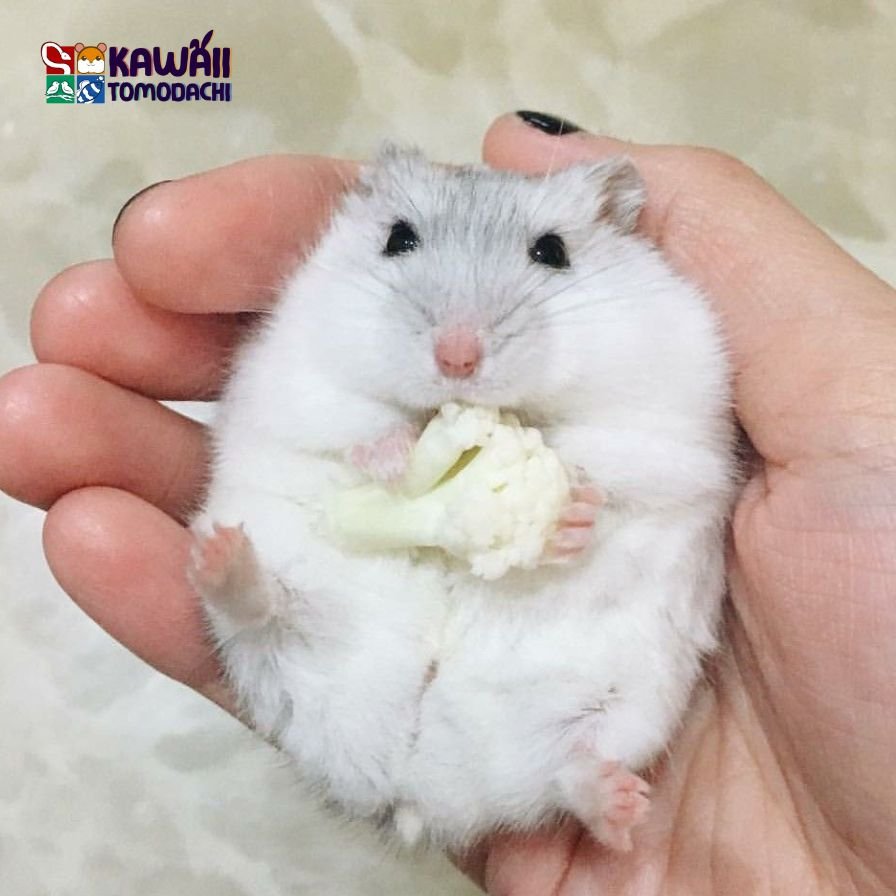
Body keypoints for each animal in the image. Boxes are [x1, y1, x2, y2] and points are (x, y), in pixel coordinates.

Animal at [189, 145, 735, 852]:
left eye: (553, 251)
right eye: (398, 239)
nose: (457, 358)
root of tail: (416, 788)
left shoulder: (658, 422)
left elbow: (604, 472)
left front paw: (569, 517)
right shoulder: (300, 377)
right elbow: (357, 425)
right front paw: (393, 462)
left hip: (630, 706)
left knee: (570, 771)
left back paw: (618, 810)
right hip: (278, 635)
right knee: (265, 610)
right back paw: (224, 559)